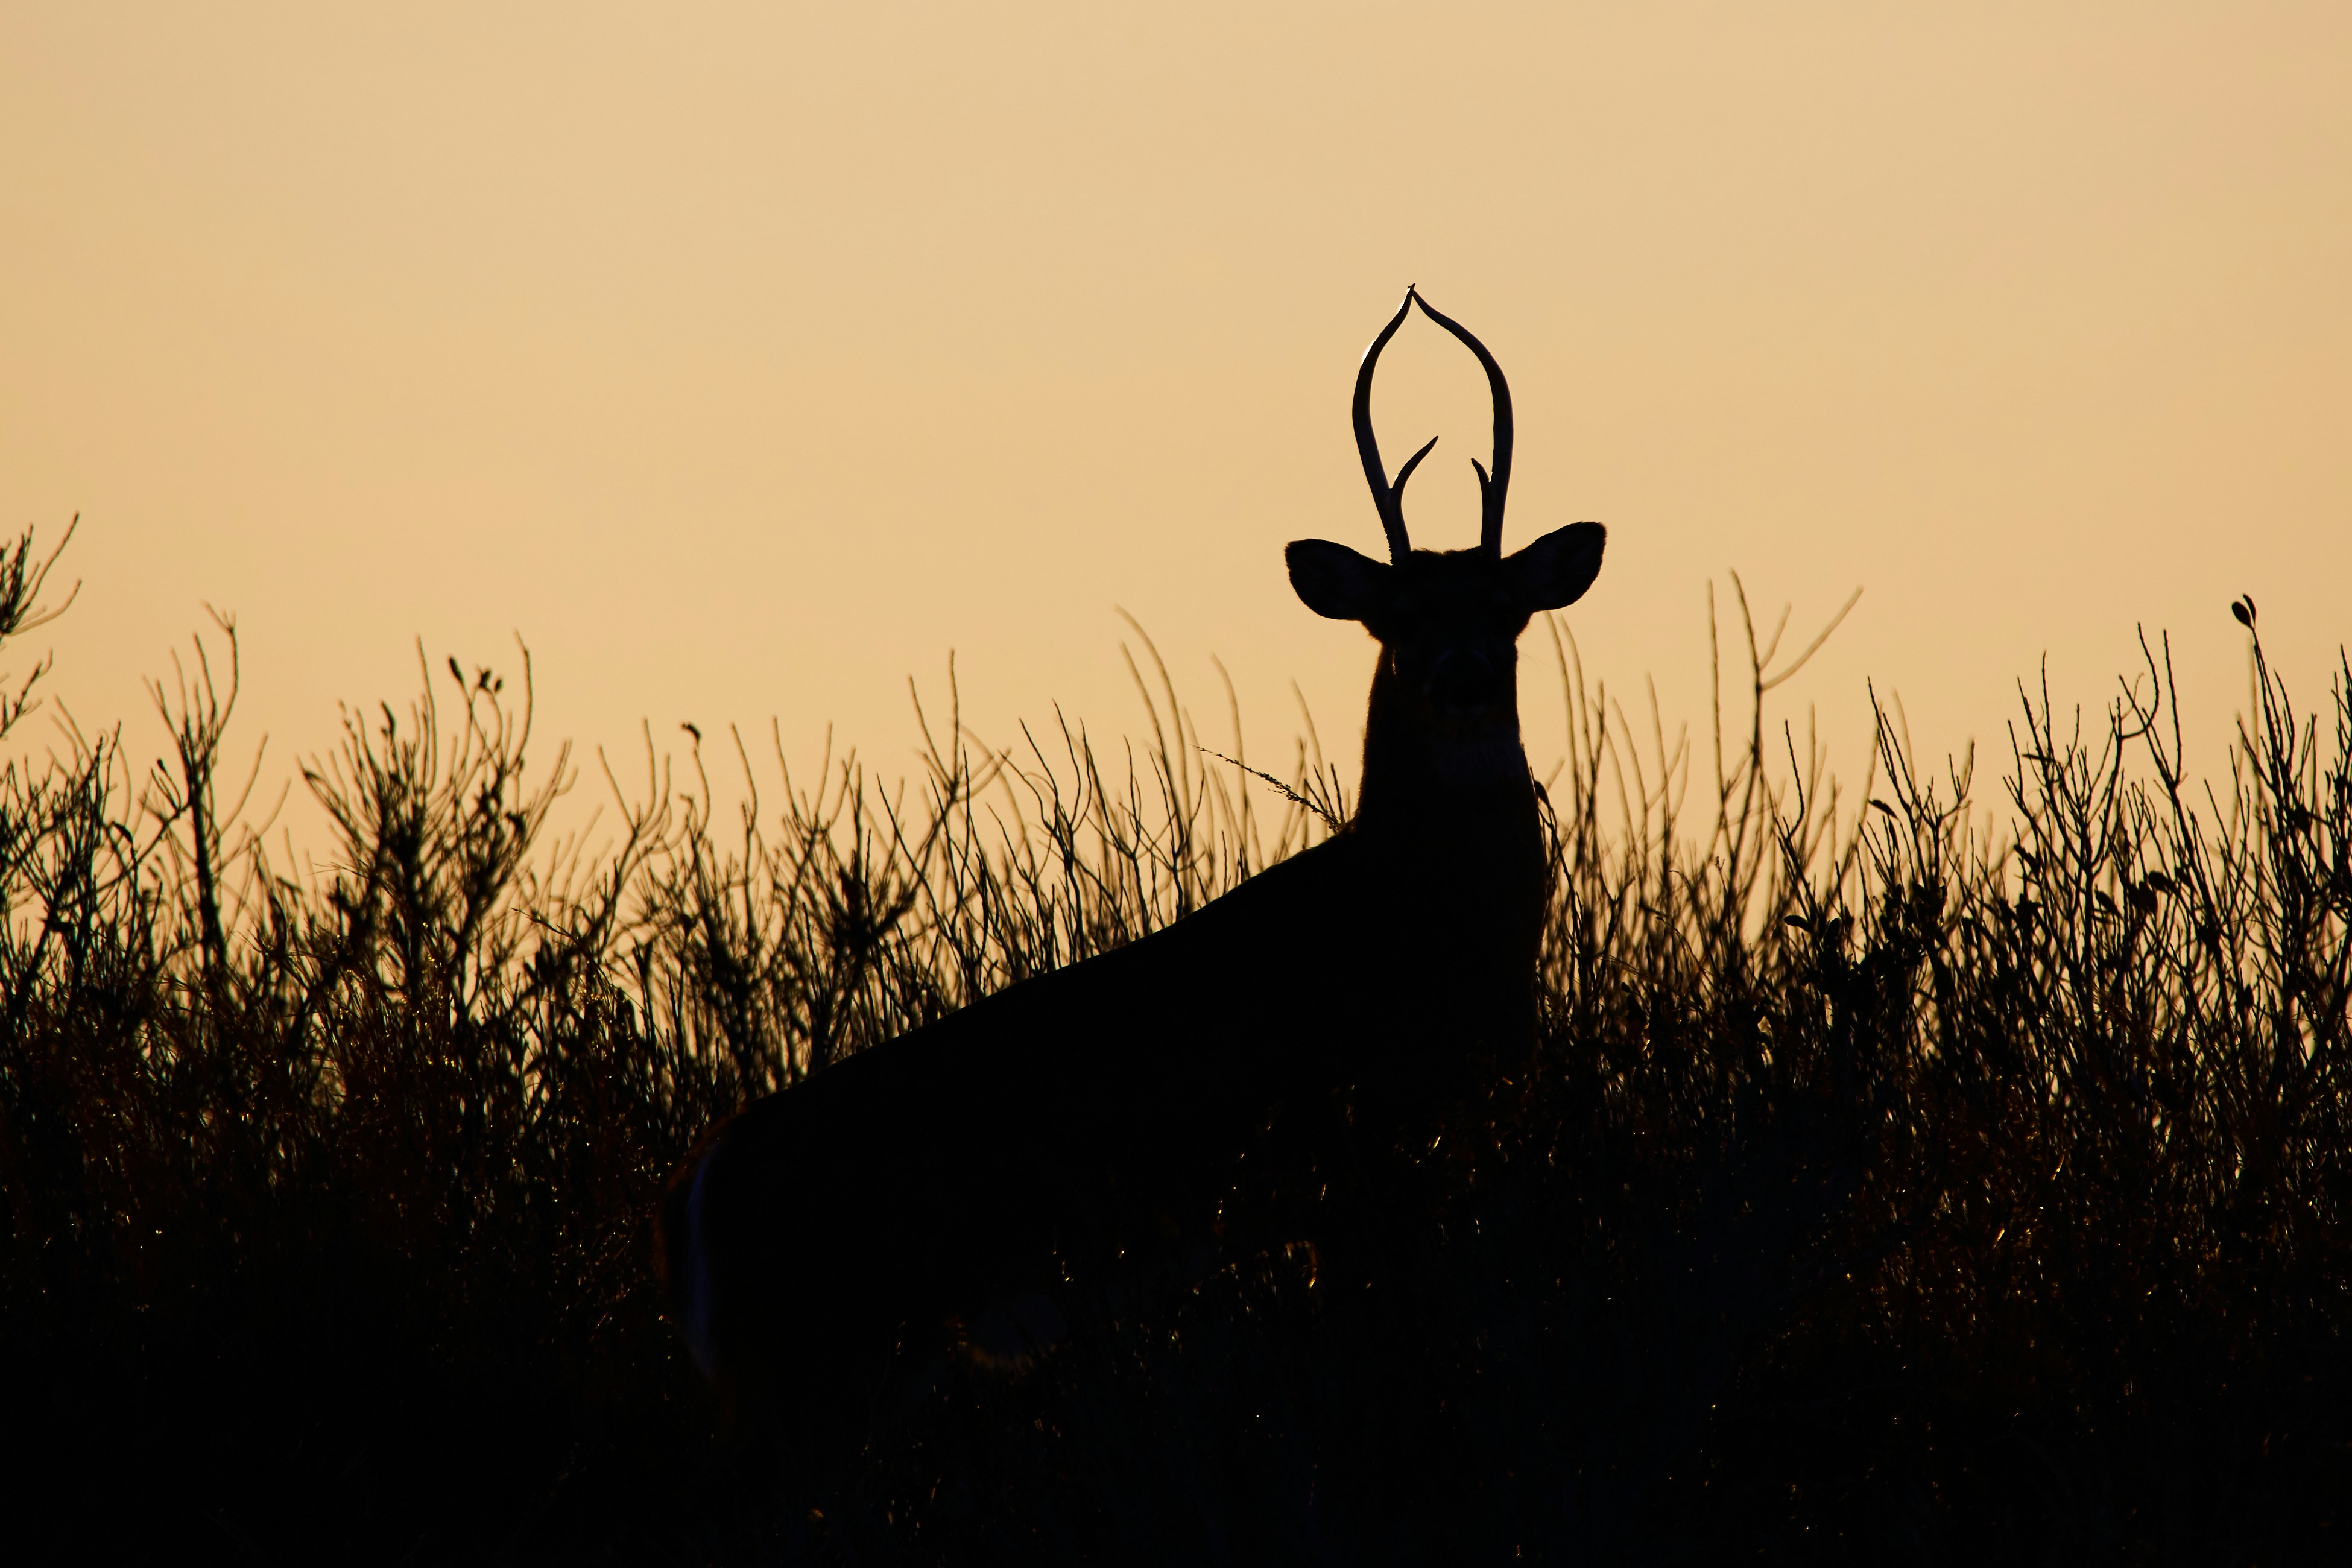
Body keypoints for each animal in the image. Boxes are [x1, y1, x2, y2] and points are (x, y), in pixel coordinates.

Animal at [659, 288, 1606, 1470]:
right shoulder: (1348, 1154)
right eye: (1395, 617)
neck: (1419, 924)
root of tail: (704, 1184)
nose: (1463, 678)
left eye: (1507, 610)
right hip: (812, 1360)